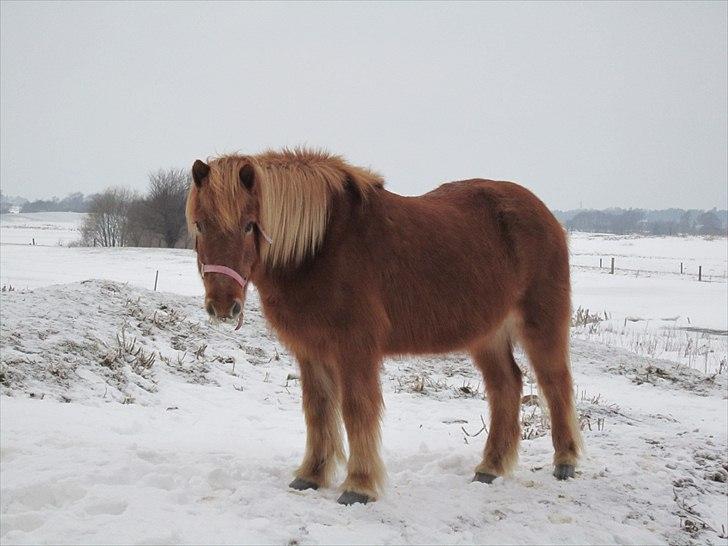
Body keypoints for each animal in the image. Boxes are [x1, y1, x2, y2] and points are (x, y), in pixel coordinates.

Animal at [186, 147, 580, 504]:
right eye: (201, 225)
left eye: (249, 225)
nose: (223, 306)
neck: (321, 246)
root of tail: (543, 213)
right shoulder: (310, 350)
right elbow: (318, 409)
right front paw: (311, 475)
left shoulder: (355, 348)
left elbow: (356, 408)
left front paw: (358, 486)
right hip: (487, 334)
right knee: (506, 386)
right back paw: (490, 468)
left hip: (541, 323)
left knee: (555, 382)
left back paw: (566, 462)